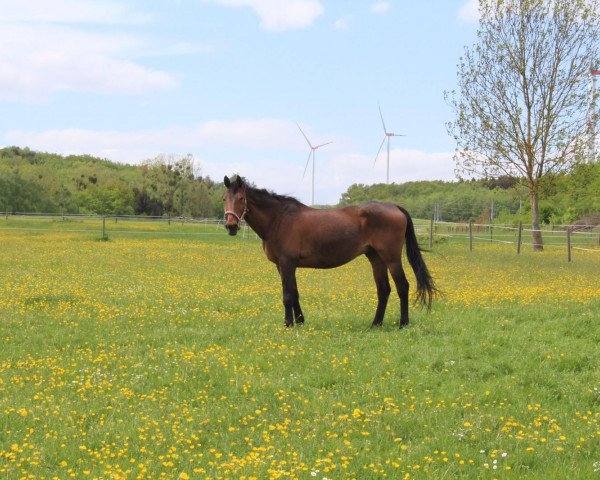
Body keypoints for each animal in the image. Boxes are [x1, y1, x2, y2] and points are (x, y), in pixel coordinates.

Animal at [224, 176, 436, 330]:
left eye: (241, 199)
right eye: (224, 199)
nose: (230, 225)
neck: (279, 219)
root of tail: (395, 207)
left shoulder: (287, 263)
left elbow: (288, 295)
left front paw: (288, 324)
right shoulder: (283, 265)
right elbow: (294, 292)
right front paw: (300, 321)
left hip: (391, 258)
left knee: (402, 286)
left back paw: (403, 323)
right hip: (376, 258)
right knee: (384, 289)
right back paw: (375, 324)